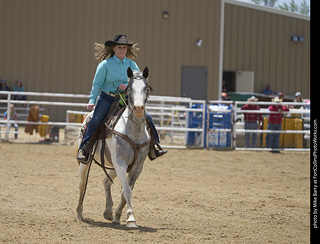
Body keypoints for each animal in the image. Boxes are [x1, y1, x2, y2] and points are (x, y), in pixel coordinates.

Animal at [77, 66, 152, 227]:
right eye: (129, 89)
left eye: (146, 88)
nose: (138, 108)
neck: (134, 132)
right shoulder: (120, 163)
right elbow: (127, 191)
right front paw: (131, 218)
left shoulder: (136, 167)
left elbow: (125, 191)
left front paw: (118, 215)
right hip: (87, 163)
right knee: (82, 184)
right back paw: (79, 213)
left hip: (113, 165)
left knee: (106, 182)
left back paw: (108, 212)